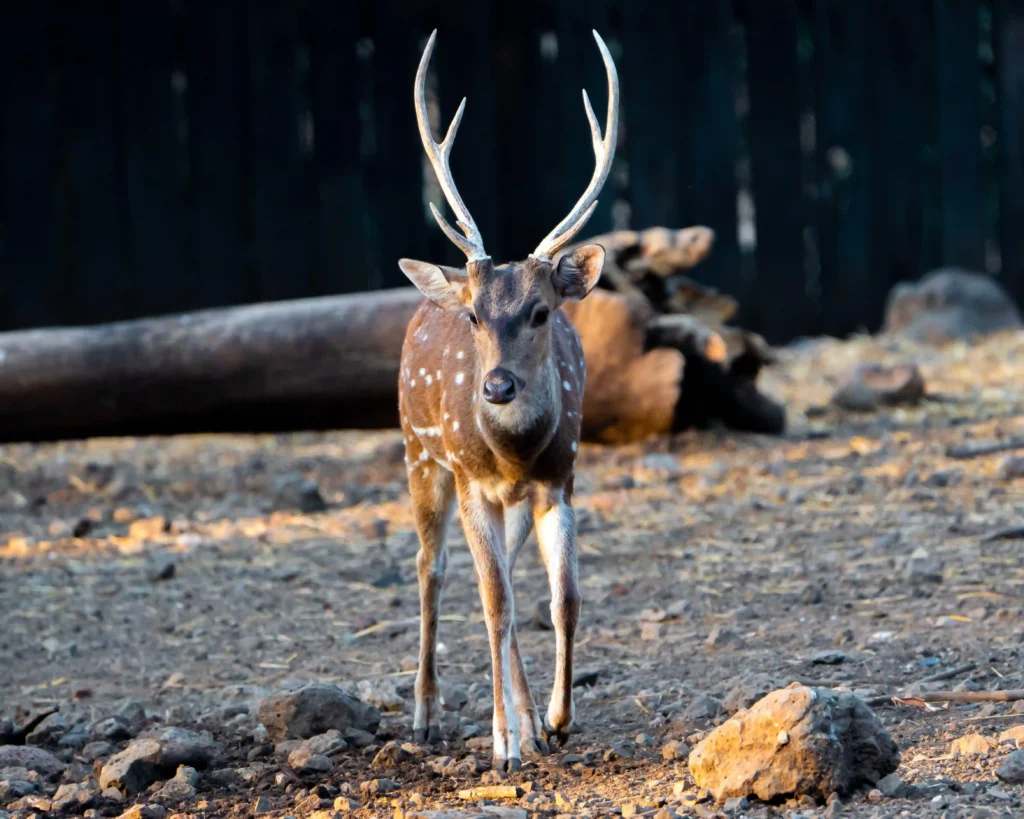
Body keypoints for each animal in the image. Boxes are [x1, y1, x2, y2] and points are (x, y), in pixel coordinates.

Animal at [396, 29, 618, 771]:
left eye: (542, 311)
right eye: (474, 316)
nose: (495, 386)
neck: (515, 452)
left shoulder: (561, 477)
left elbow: (563, 597)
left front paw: (555, 719)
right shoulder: (470, 478)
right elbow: (492, 602)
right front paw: (502, 745)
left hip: (503, 501)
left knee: (513, 583)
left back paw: (527, 720)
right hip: (419, 455)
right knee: (433, 568)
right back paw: (426, 714)